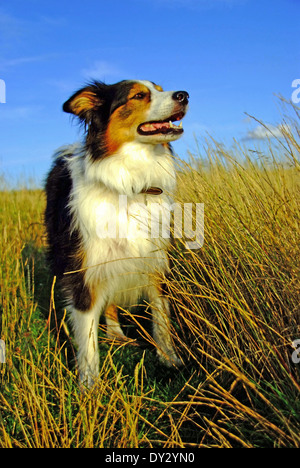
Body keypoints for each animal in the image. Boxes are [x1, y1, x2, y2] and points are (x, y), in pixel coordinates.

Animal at [45, 79, 188, 388]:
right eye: (139, 95)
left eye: (161, 88)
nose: (184, 95)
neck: (131, 185)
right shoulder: (85, 272)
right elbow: (87, 340)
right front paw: (89, 387)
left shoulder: (154, 262)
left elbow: (161, 318)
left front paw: (169, 358)